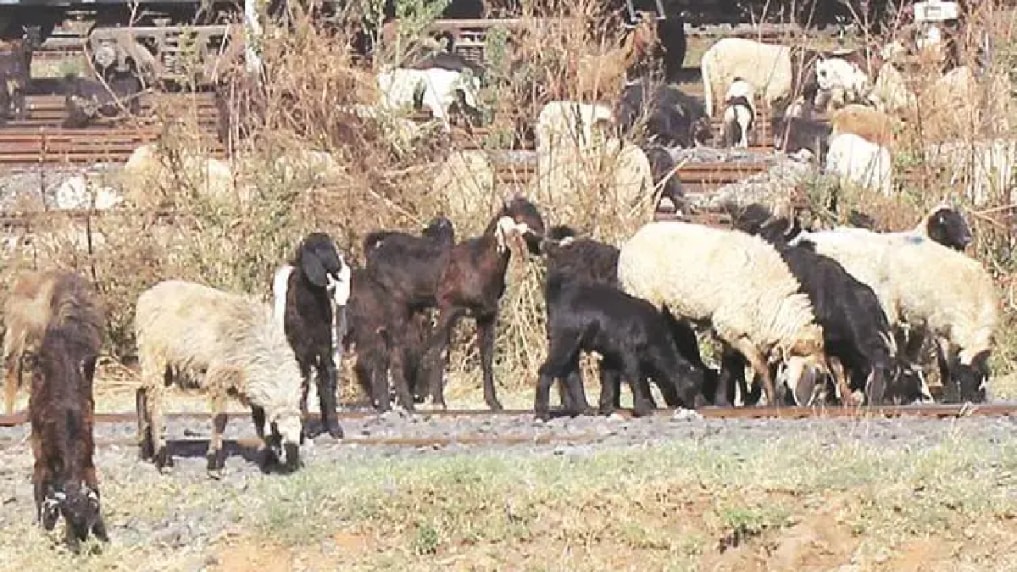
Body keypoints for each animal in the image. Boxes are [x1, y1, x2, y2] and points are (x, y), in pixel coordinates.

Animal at [25, 268, 108, 549]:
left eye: (88, 515)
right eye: (66, 516)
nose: (78, 541)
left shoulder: (88, 461)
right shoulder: (42, 460)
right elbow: (40, 486)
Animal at [272, 232, 351, 435]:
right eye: (321, 249)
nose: (339, 267)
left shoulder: (325, 345)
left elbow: (327, 378)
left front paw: (333, 427)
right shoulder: (301, 351)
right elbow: (304, 382)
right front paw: (306, 427)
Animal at [536, 270, 703, 419]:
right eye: (693, 387)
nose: (697, 405)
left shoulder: (612, 355)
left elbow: (609, 378)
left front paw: (606, 408)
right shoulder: (627, 352)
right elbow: (634, 377)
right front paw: (643, 409)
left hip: (573, 345)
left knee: (571, 373)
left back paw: (585, 409)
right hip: (565, 341)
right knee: (546, 371)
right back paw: (542, 413)